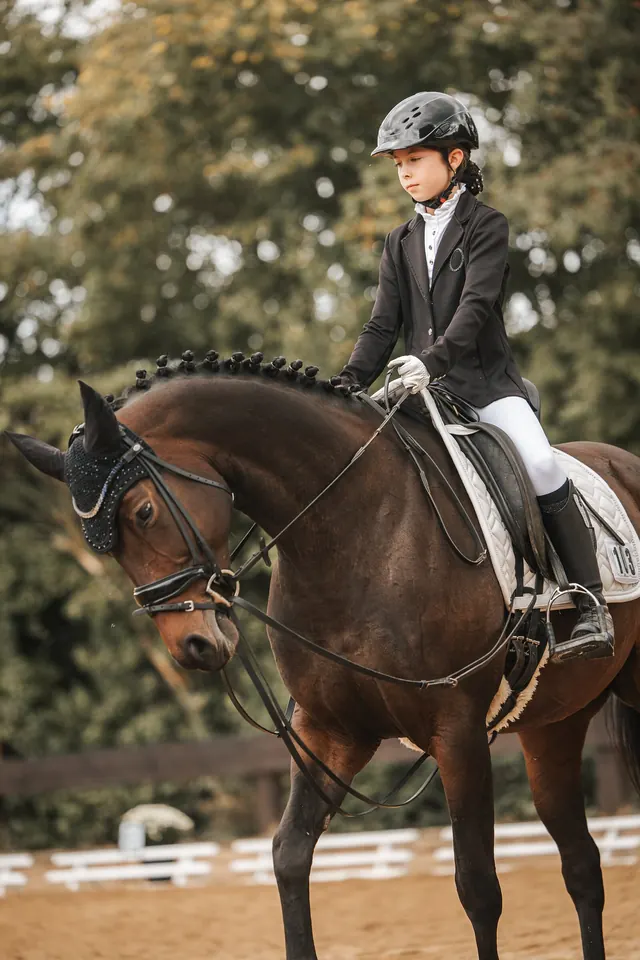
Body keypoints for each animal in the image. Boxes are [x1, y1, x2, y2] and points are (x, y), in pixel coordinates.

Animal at [7, 357, 640, 960]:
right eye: (105, 546)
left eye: (142, 512)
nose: (193, 645)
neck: (358, 526)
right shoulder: (331, 730)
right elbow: (289, 857)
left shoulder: (457, 729)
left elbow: (478, 887)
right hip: (553, 725)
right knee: (582, 865)